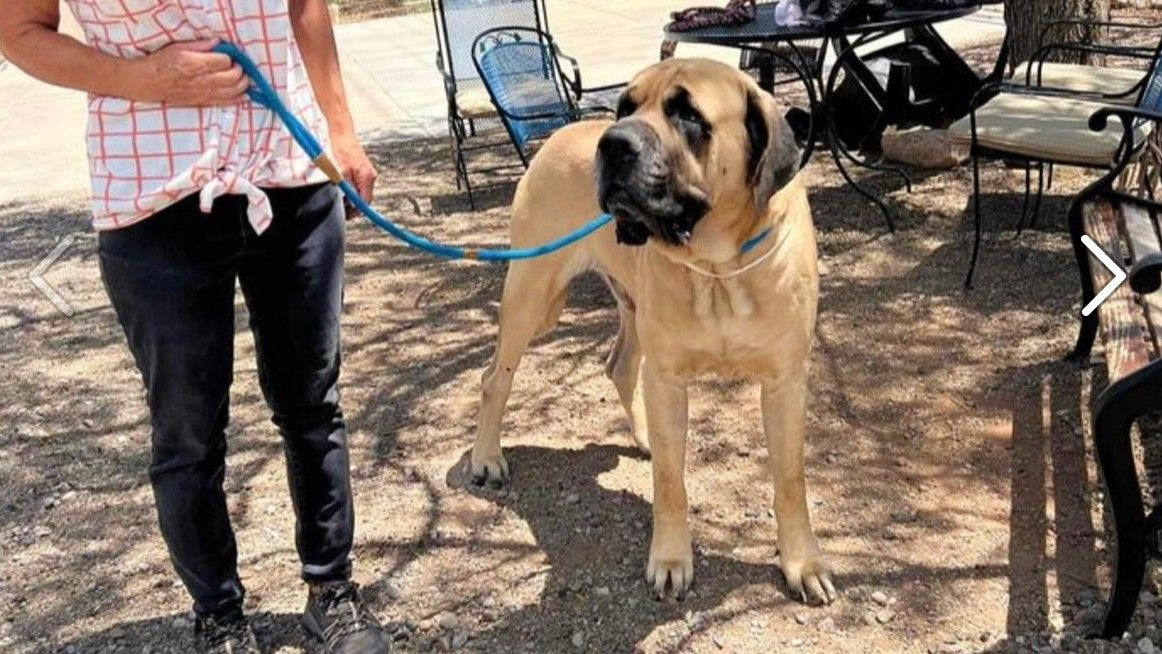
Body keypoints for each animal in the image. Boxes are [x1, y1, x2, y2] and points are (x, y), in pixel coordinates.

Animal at [471, 58, 836, 608]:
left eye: (688, 114)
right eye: (625, 106)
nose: (613, 144)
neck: (719, 268)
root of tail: (558, 136)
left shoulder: (785, 383)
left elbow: (790, 479)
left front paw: (803, 563)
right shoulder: (667, 378)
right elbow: (670, 482)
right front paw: (670, 560)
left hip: (628, 306)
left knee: (620, 367)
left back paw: (644, 435)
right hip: (531, 294)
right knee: (496, 377)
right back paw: (487, 457)